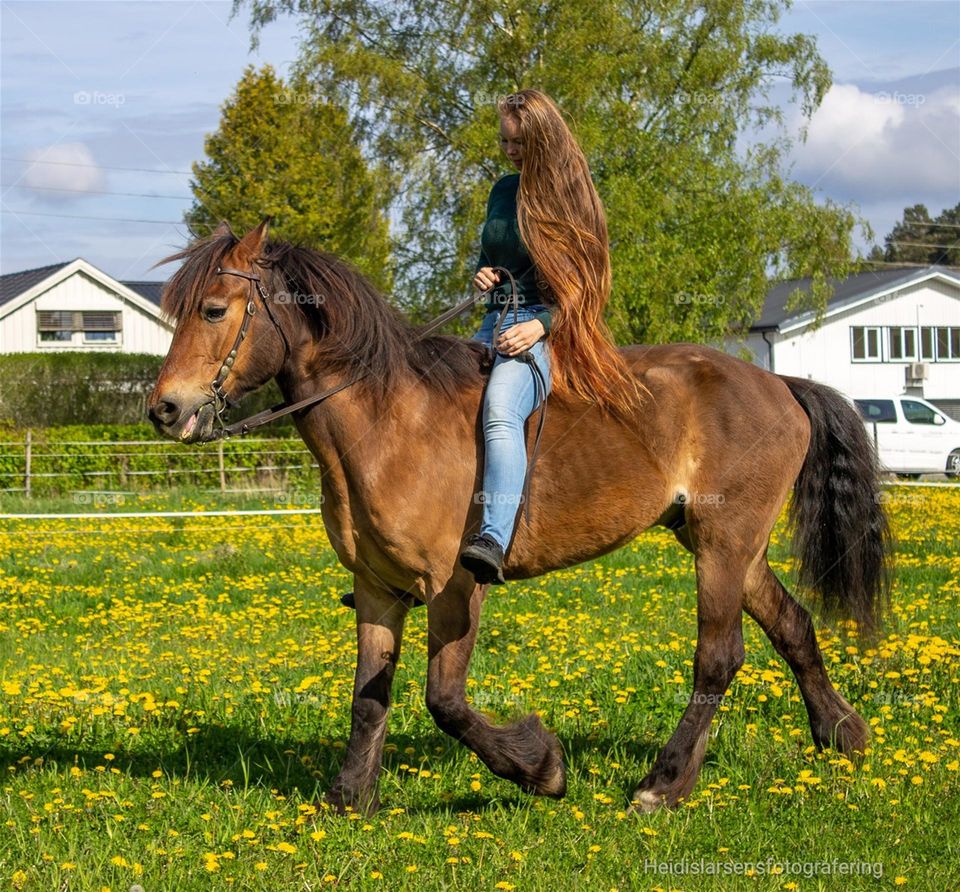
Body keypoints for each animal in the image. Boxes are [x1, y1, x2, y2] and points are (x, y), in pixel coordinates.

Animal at [146, 221, 888, 816]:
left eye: (213, 309)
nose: (164, 410)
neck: (387, 420)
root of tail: (779, 383)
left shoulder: (453, 587)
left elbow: (444, 701)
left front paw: (542, 767)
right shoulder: (379, 588)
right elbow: (368, 697)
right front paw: (351, 796)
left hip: (722, 548)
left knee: (718, 658)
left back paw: (663, 785)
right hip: (731, 546)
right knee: (792, 626)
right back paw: (841, 736)